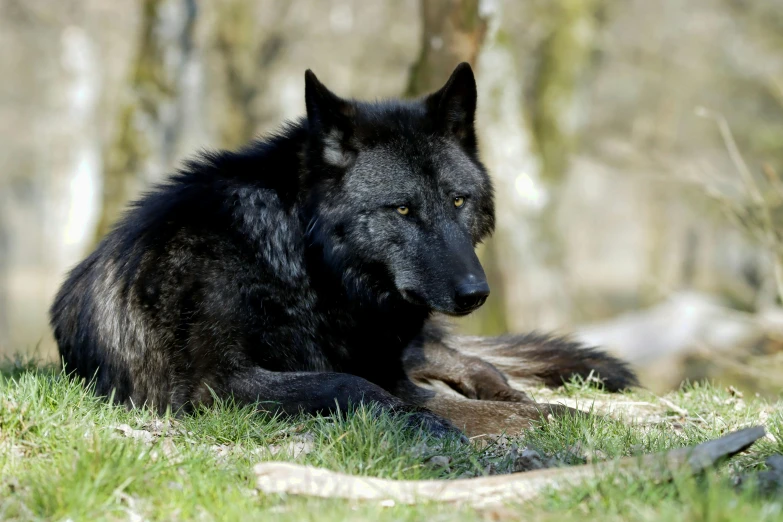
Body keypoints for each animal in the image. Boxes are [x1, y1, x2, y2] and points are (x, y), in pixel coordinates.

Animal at [50, 62, 636, 434]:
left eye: (459, 200)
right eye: (402, 210)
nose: (476, 292)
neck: (296, 266)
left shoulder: (388, 362)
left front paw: (553, 415)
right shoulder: (216, 386)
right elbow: (356, 386)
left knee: (472, 364)